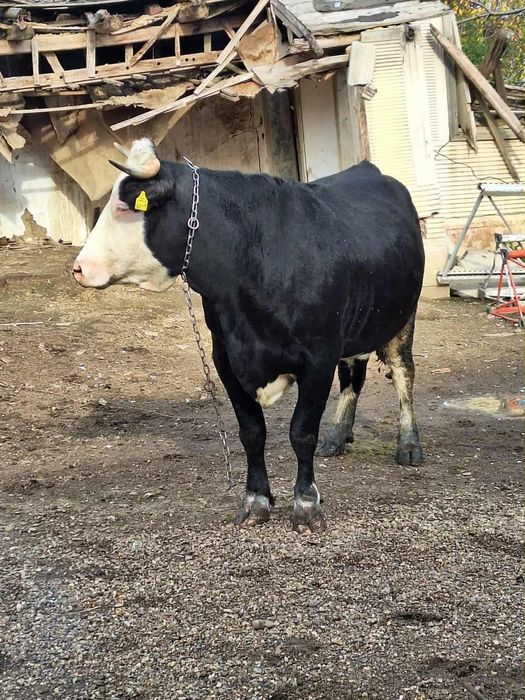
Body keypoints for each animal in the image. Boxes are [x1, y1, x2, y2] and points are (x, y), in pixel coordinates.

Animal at [72, 138, 425, 533]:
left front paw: (306, 504)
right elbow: (252, 433)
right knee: (353, 375)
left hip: (403, 317)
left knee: (403, 374)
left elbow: (301, 432)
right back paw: (336, 436)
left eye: (124, 207)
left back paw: (408, 444)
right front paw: (256, 500)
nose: (79, 268)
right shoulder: (226, 359)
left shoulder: (317, 358)